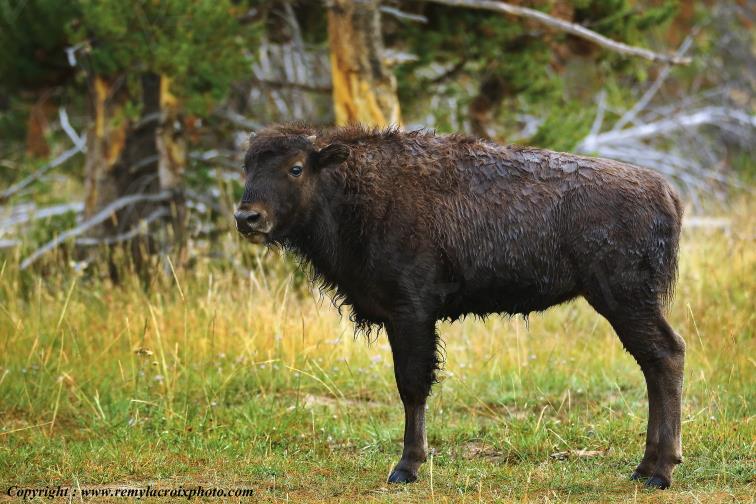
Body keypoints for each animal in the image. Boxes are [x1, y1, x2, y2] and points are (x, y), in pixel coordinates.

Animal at [235, 124, 685, 489]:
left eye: (296, 168)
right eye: (247, 167)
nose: (246, 217)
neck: (353, 188)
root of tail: (667, 192)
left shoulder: (411, 312)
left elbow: (411, 386)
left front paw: (406, 467)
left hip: (624, 299)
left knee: (666, 355)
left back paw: (661, 472)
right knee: (654, 363)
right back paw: (645, 468)